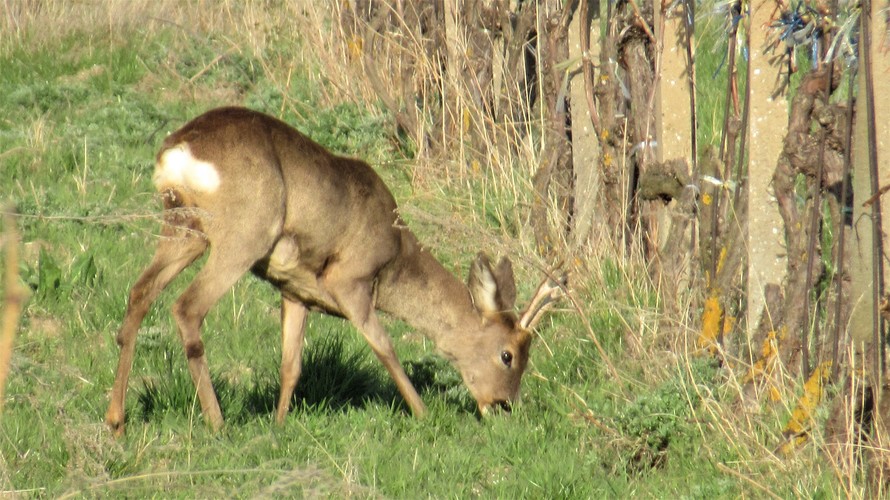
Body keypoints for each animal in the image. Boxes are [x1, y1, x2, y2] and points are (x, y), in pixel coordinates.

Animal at [104, 107, 560, 436]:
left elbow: (291, 364)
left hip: (184, 227)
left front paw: (279, 424)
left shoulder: (294, 290)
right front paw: (423, 413)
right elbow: (385, 347)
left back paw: (116, 420)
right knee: (187, 307)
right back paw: (218, 424)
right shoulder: (351, 280)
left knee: (139, 293)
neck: (395, 257)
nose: (503, 406)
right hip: (243, 232)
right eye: (508, 355)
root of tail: (178, 151)